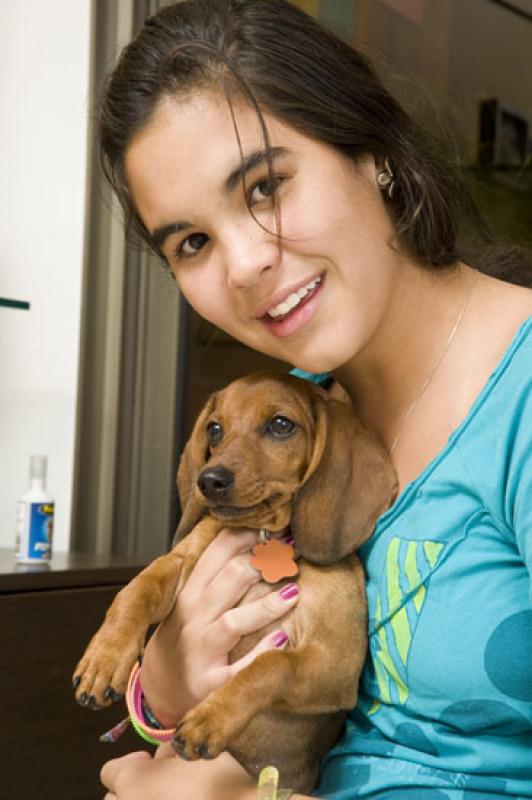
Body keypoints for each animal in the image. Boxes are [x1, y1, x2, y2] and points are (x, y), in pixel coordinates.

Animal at [72, 370, 396, 792]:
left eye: (281, 425)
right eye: (214, 429)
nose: (209, 481)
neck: (265, 537)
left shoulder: (336, 660)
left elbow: (271, 664)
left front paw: (212, 716)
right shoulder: (180, 562)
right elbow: (135, 591)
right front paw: (104, 658)